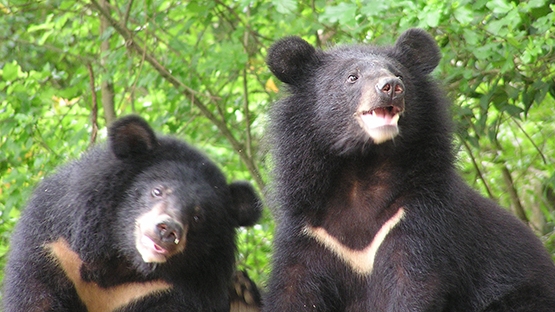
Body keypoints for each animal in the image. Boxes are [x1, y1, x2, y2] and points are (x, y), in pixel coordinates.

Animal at [2, 115, 262, 312]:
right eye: (157, 191)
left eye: (199, 217)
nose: (168, 230)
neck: (122, 263)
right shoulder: (57, 251)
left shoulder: (166, 291)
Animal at [262, 28, 555, 310]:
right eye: (352, 77)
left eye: (398, 73)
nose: (391, 87)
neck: (362, 169)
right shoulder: (310, 232)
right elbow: (294, 289)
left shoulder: (419, 219)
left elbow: (413, 285)